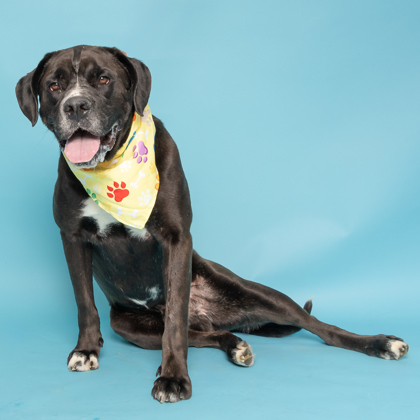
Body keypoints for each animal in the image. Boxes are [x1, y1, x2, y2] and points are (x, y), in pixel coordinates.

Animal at [17, 46, 410, 404]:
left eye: (103, 79)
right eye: (54, 86)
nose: (75, 106)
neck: (113, 170)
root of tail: (209, 316)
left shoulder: (175, 238)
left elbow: (175, 321)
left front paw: (174, 378)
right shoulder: (72, 239)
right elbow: (85, 304)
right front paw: (87, 350)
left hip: (260, 294)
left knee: (319, 327)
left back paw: (381, 343)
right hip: (130, 326)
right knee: (200, 336)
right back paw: (234, 344)